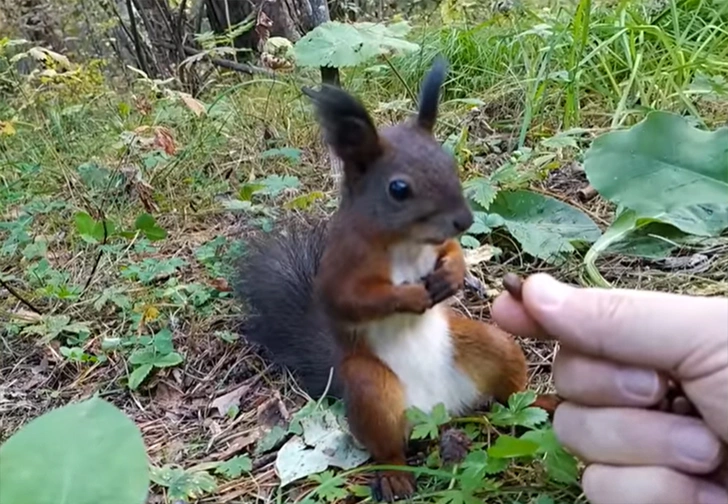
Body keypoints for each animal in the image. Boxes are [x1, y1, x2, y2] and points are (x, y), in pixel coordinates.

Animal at [236, 58, 556, 500]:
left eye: (450, 164)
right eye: (399, 189)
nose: (464, 219)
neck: (405, 243)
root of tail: (439, 410)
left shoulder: (438, 245)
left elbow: (452, 251)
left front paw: (452, 274)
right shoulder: (342, 265)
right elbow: (349, 299)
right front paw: (408, 298)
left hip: (489, 346)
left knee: (509, 395)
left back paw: (541, 404)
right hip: (370, 388)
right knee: (389, 446)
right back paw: (395, 475)